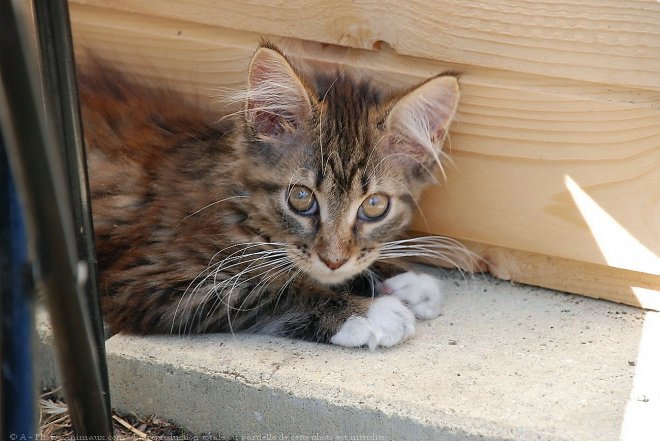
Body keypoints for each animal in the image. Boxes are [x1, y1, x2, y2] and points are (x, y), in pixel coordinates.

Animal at [78, 43, 458, 348]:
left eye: (375, 206)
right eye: (301, 198)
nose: (333, 260)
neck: (240, 203)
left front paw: (404, 280)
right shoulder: (152, 279)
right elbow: (272, 287)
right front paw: (370, 313)